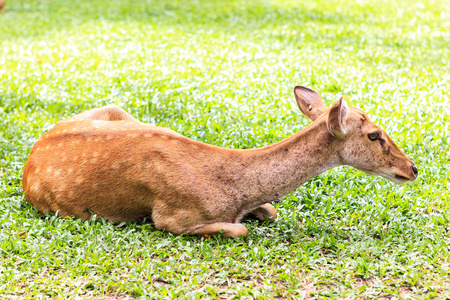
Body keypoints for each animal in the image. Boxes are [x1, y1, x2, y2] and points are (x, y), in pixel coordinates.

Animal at [22, 86, 418, 237]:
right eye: (374, 135)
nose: (412, 169)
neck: (233, 189)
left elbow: (270, 211)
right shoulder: (171, 217)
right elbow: (240, 229)